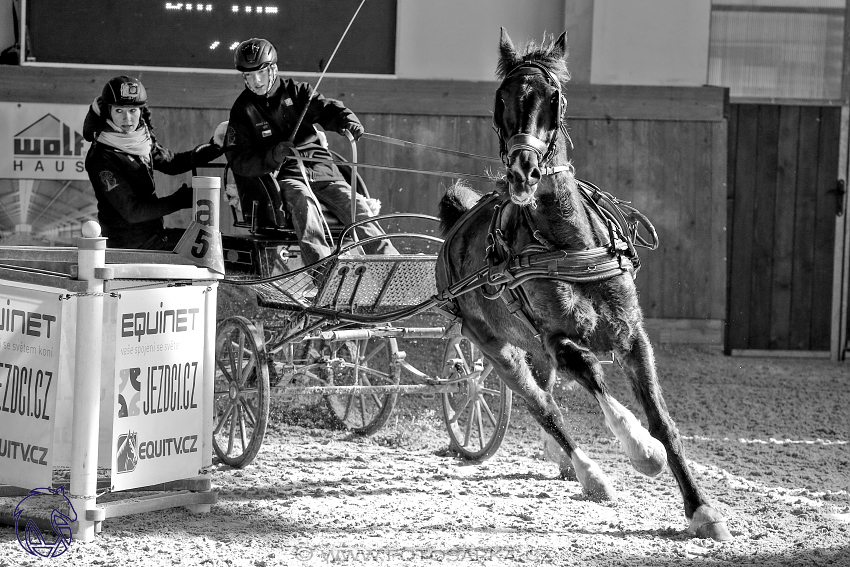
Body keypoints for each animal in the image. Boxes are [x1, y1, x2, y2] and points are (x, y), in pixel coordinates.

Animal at [438, 28, 728, 544]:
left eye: (552, 96)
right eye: (501, 97)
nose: (523, 171)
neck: (567, 243)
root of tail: (455, 225)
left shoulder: (632, 337)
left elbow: (664, 421)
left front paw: (701, 509)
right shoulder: (558, 339)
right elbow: (594, 376)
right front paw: (641, 452)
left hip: (529, 348)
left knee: (548, 395)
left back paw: (564, 460)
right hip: (495, 346)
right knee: (542, 406)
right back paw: (590, 473)